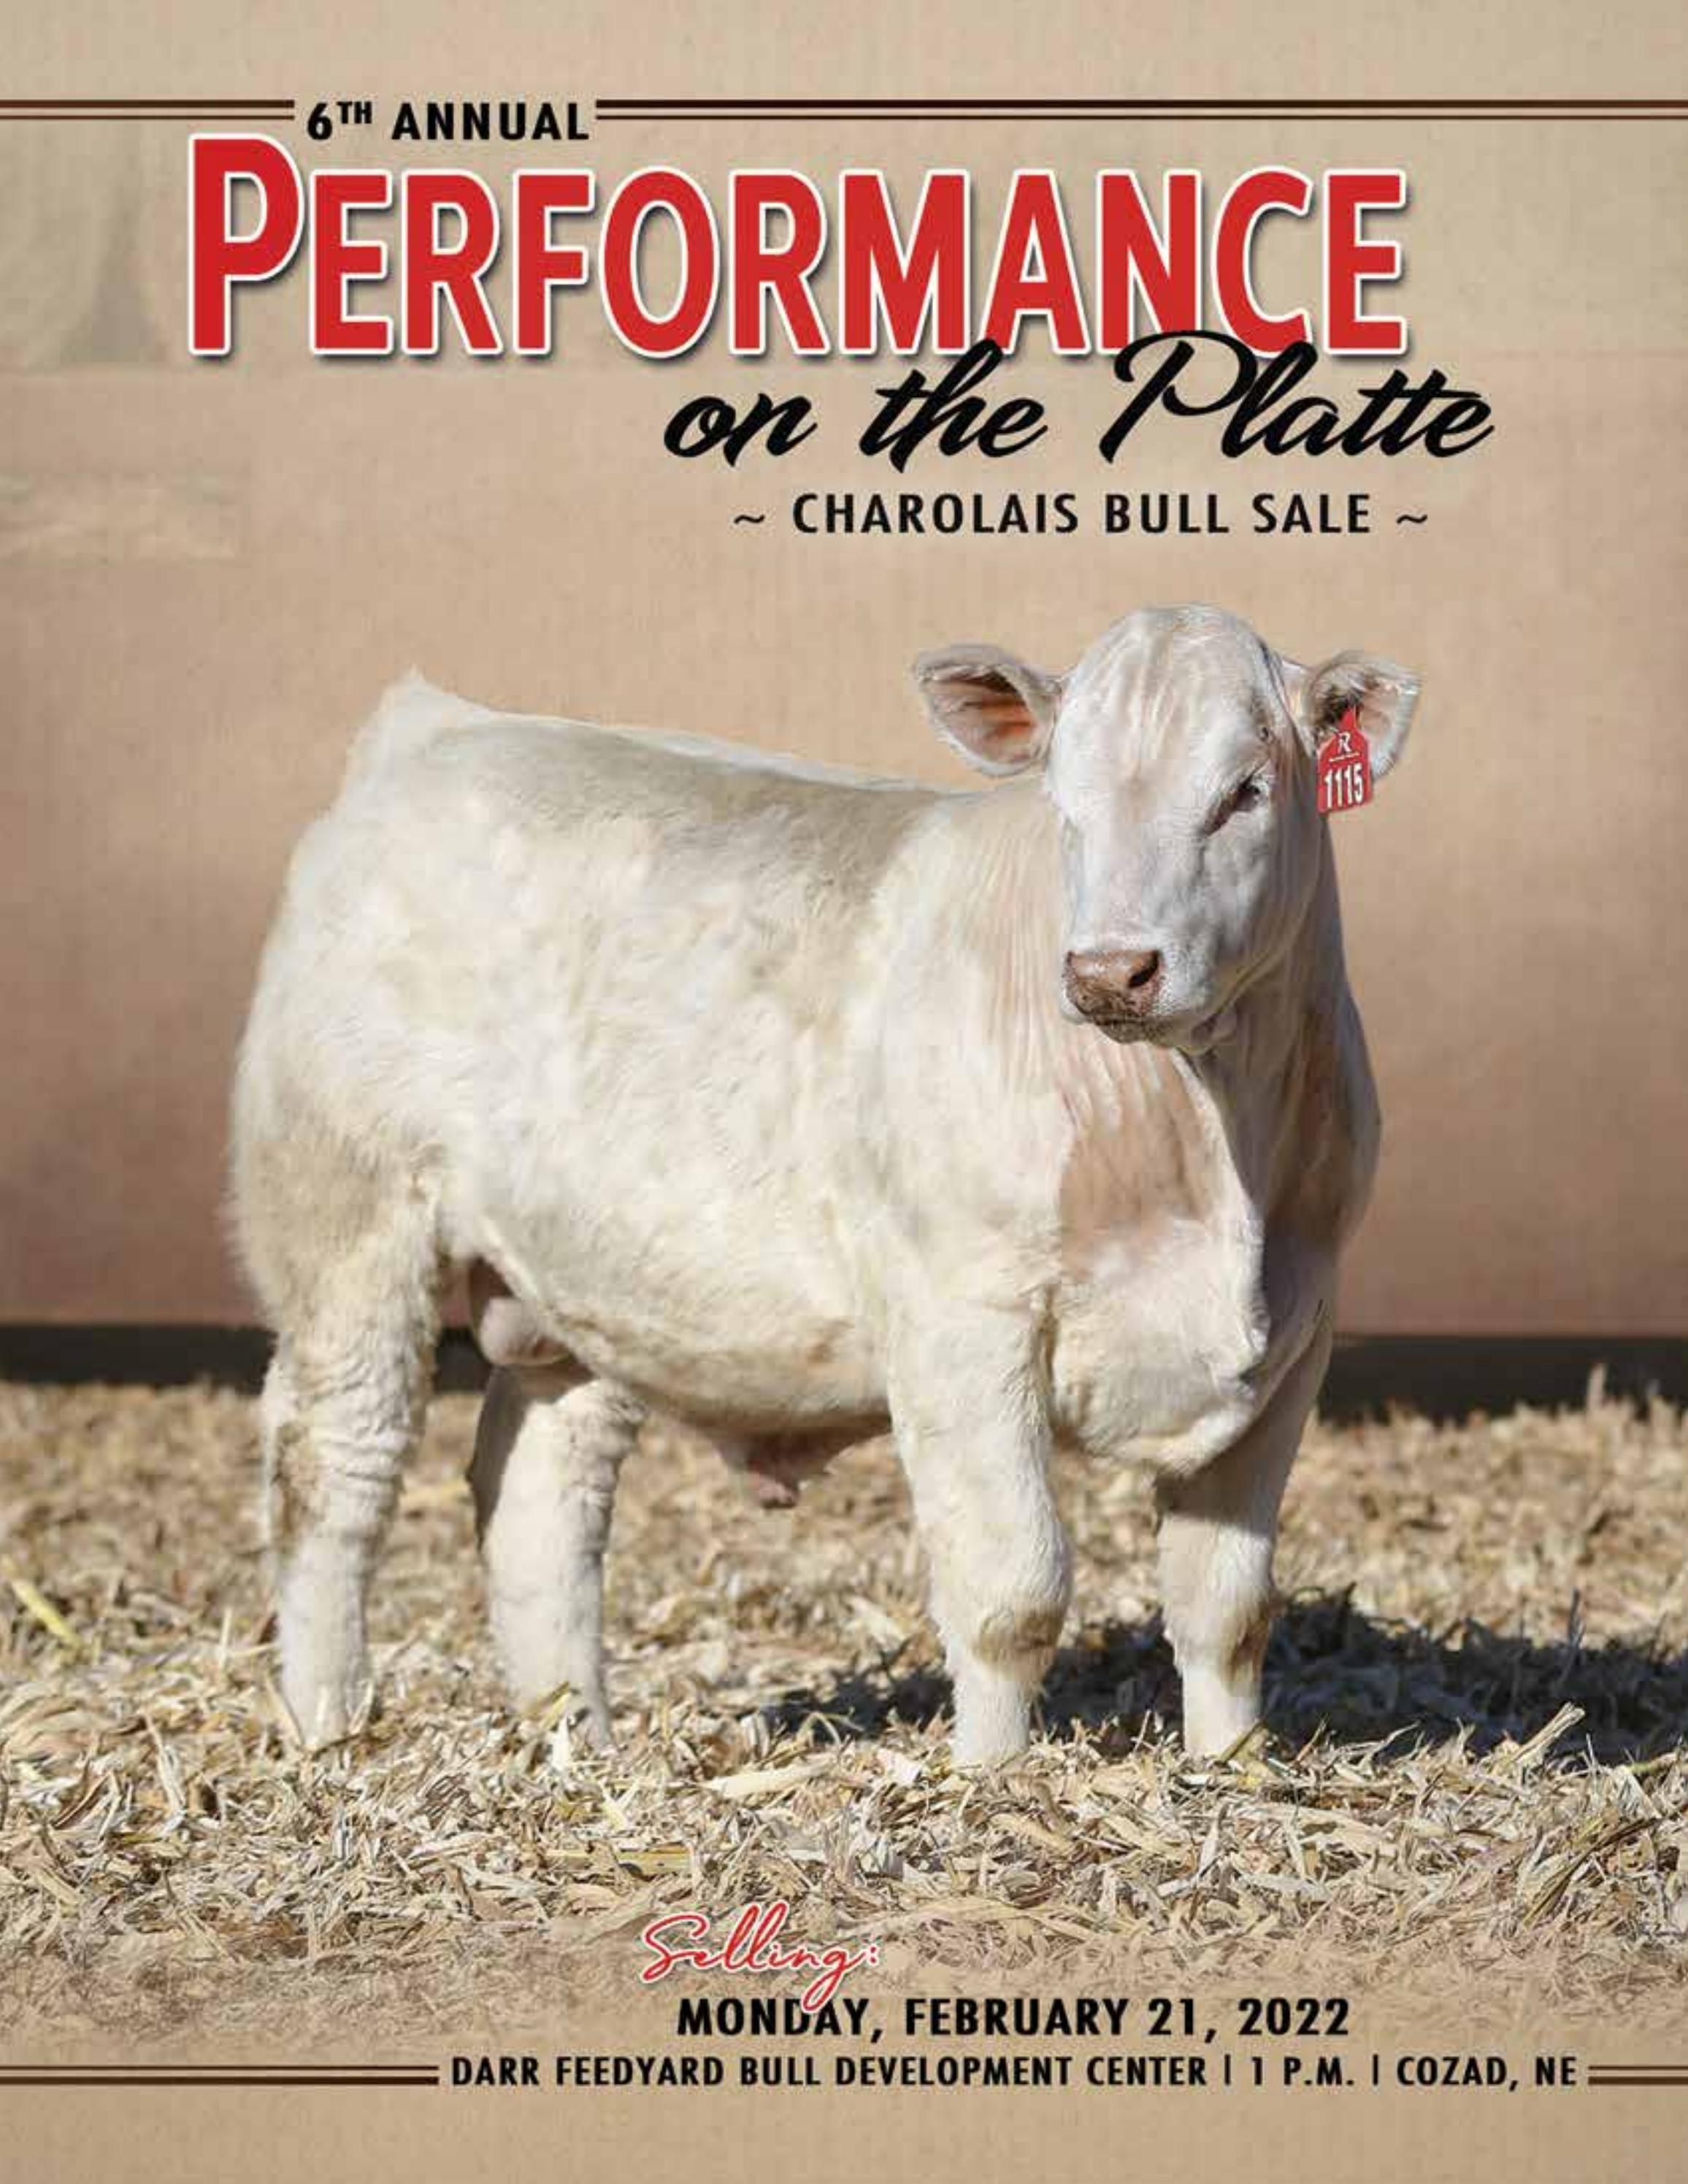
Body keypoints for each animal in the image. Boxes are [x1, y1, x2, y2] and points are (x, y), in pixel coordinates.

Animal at [230, 604, 1418, 1766]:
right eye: (1063, 800)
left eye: (1244, 791)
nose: (1108, 972)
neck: (1202, 1150)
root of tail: (438, 726)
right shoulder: (960, 1317)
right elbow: (1012, 1592)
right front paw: (992, 1779)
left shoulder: (1295, 1333)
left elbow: (1225, 1607)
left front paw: (1229, 1766)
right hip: (346, 1221)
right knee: (334, 1464)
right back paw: (327, 1731)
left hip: (579, 1288)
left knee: (541, 1496)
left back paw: (576, 1742)